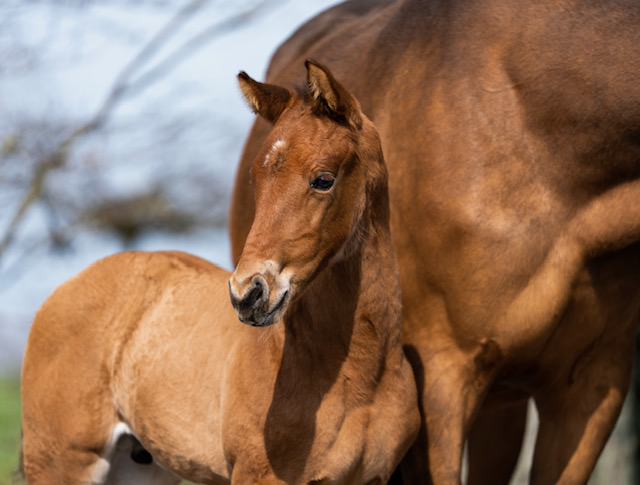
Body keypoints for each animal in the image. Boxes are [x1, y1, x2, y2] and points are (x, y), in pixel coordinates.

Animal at [18, 61, 420, 484]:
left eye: (323, 179)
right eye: (255, 179)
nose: (248, 294)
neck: (357, 378)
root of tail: (63, 290)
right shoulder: (258, 474)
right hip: (63, 461)